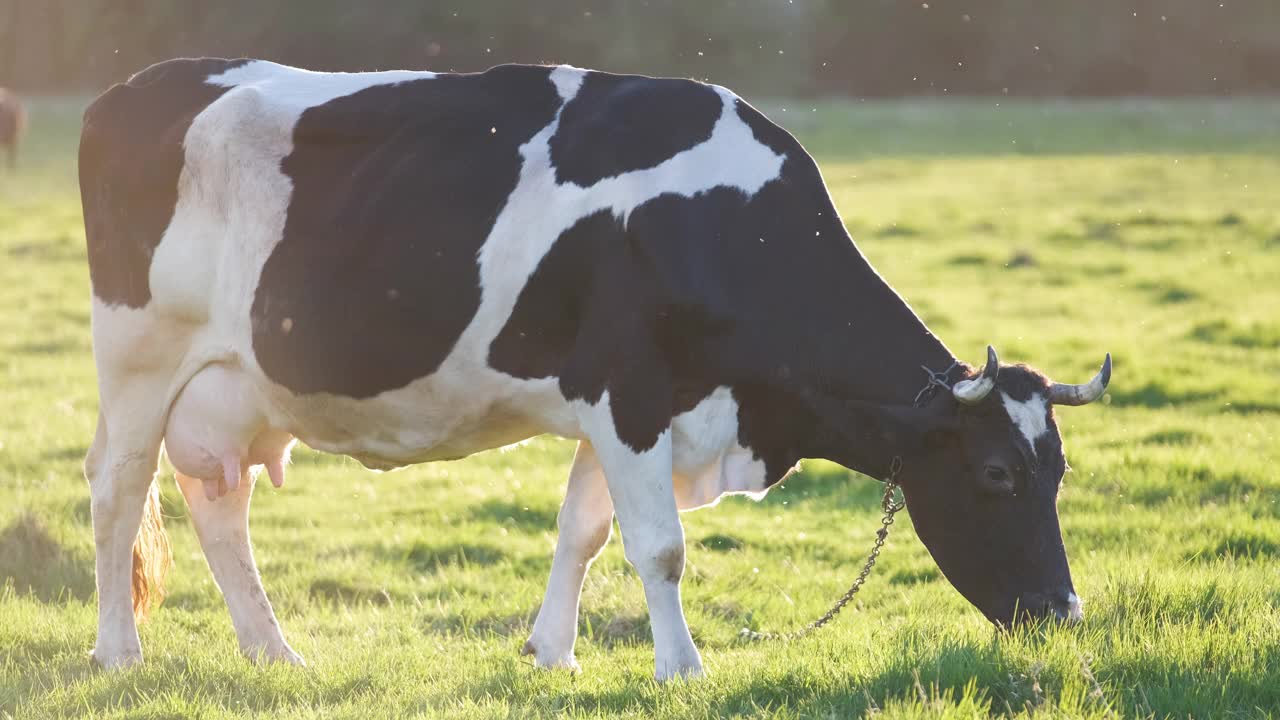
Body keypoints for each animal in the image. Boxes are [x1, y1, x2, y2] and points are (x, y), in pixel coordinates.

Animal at [77, 57, 1111, 676]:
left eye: (1059, 471)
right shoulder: (630, 392)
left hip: (230, 388)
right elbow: (660, 545)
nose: (1064, 614)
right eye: (996, 473)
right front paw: (682, 668)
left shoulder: (615, 406)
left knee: (218, 502)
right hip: (137, 358)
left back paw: (273, 651)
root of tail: (136, 84)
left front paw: (552, 653)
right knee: (118, 491)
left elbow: (584, 529)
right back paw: (120, 653)